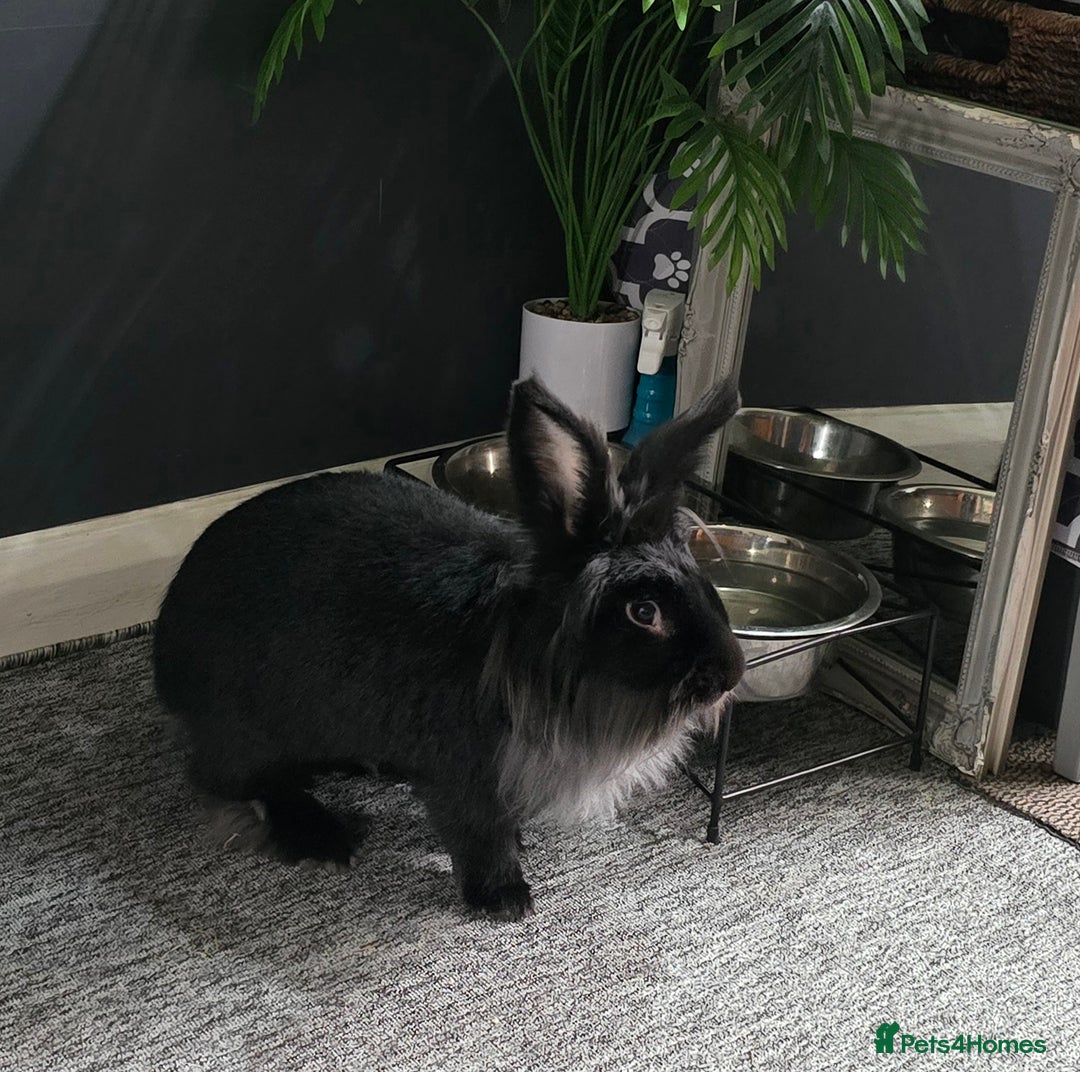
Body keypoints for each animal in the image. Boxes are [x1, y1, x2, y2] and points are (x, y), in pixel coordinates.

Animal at [153, 375, 745, 921]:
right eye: (643, 612)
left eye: (700, 578)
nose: (730, 674)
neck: (525, 650)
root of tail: (165, 662)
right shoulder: (468, 772)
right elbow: (480, 833)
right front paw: (506, 899)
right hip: (249, 728)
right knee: (233, 780)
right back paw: (325, 838)